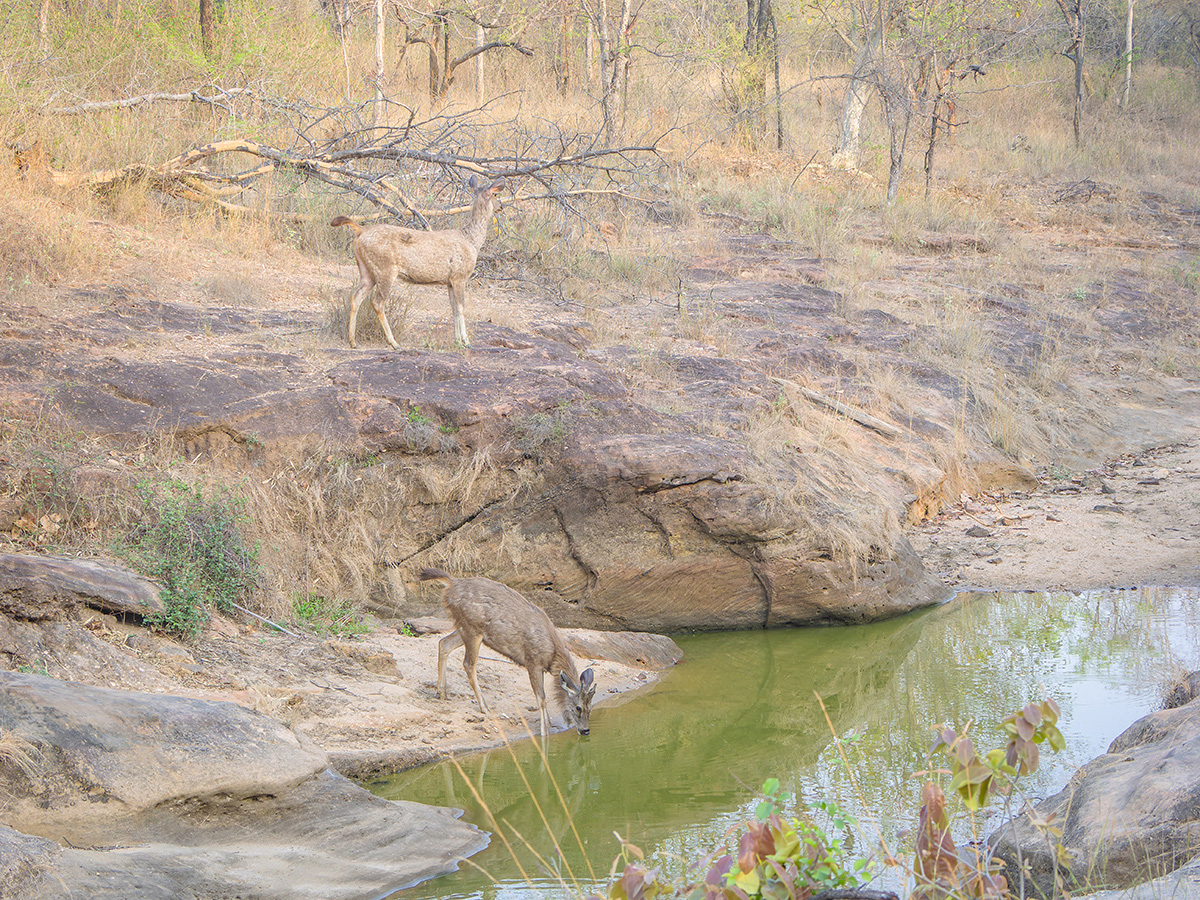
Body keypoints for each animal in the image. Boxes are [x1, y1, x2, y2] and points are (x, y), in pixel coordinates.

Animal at [330, 175, 505, 349]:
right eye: (495, 195)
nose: (501, 207)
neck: (472, 241)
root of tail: (361, 231)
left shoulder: (449, 281)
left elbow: (454, 308)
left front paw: (457, 340)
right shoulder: (460, 276)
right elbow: (461, 308)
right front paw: (466, 342)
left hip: (367, 271)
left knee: (355, 297)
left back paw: (352, 341)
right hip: (384, 268)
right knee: (377, 302)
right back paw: (394, 342)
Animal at [418, 567, 596, 738]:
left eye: (590, 706)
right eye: (578, 707)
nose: (586, 730)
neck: (552, 656)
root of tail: (451, 583)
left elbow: (543, 697)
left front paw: (551, 725)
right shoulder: (532, 661)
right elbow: (541, 698)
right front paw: (545, 732)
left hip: (464, 628)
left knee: (443, 643)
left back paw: (442, 692)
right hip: (472, 629)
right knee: (468, 663)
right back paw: (484, 707)